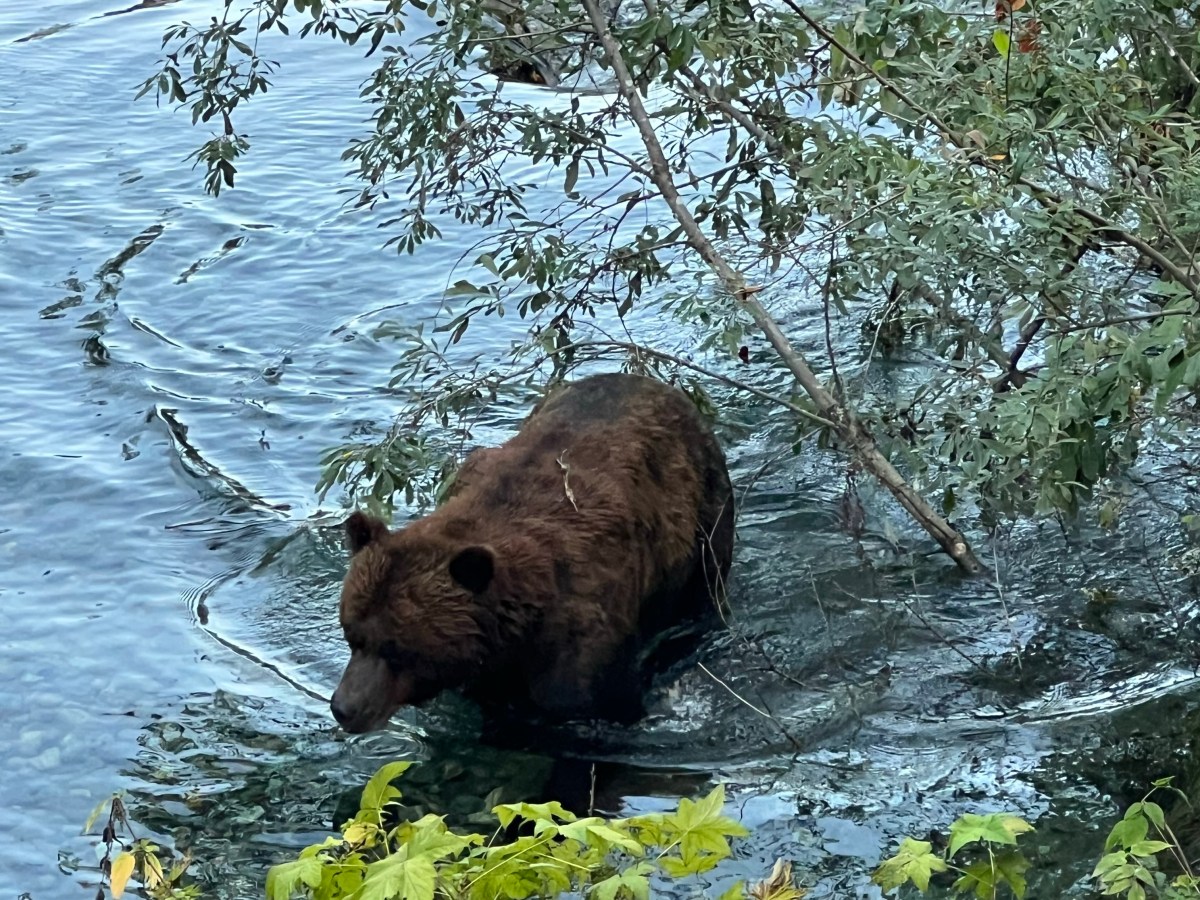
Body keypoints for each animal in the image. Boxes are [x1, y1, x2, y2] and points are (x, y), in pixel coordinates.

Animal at [329, 372, 735, 733]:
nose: (344, 708)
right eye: (352, 635)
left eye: (397, 649)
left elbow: (596, 707)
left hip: (704, 518)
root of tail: (655, 383)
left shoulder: (582, 642)